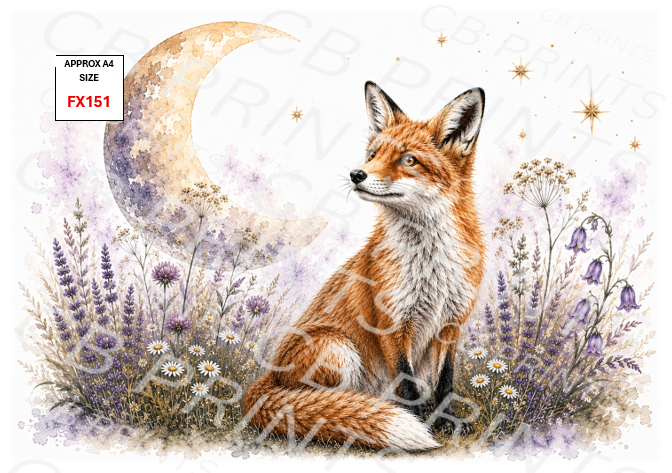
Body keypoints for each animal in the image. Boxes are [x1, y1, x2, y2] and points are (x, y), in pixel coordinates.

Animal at [242, 81, 486, 451]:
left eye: (409, 160)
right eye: (373, 154)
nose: (357, 174)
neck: (431, 265)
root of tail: (267, 376)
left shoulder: (451, 322)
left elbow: (444, 383)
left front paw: (447, 421)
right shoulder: (391, 321)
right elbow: (408, 384)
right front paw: (420, 422)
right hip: (338, 347)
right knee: (316, 402)